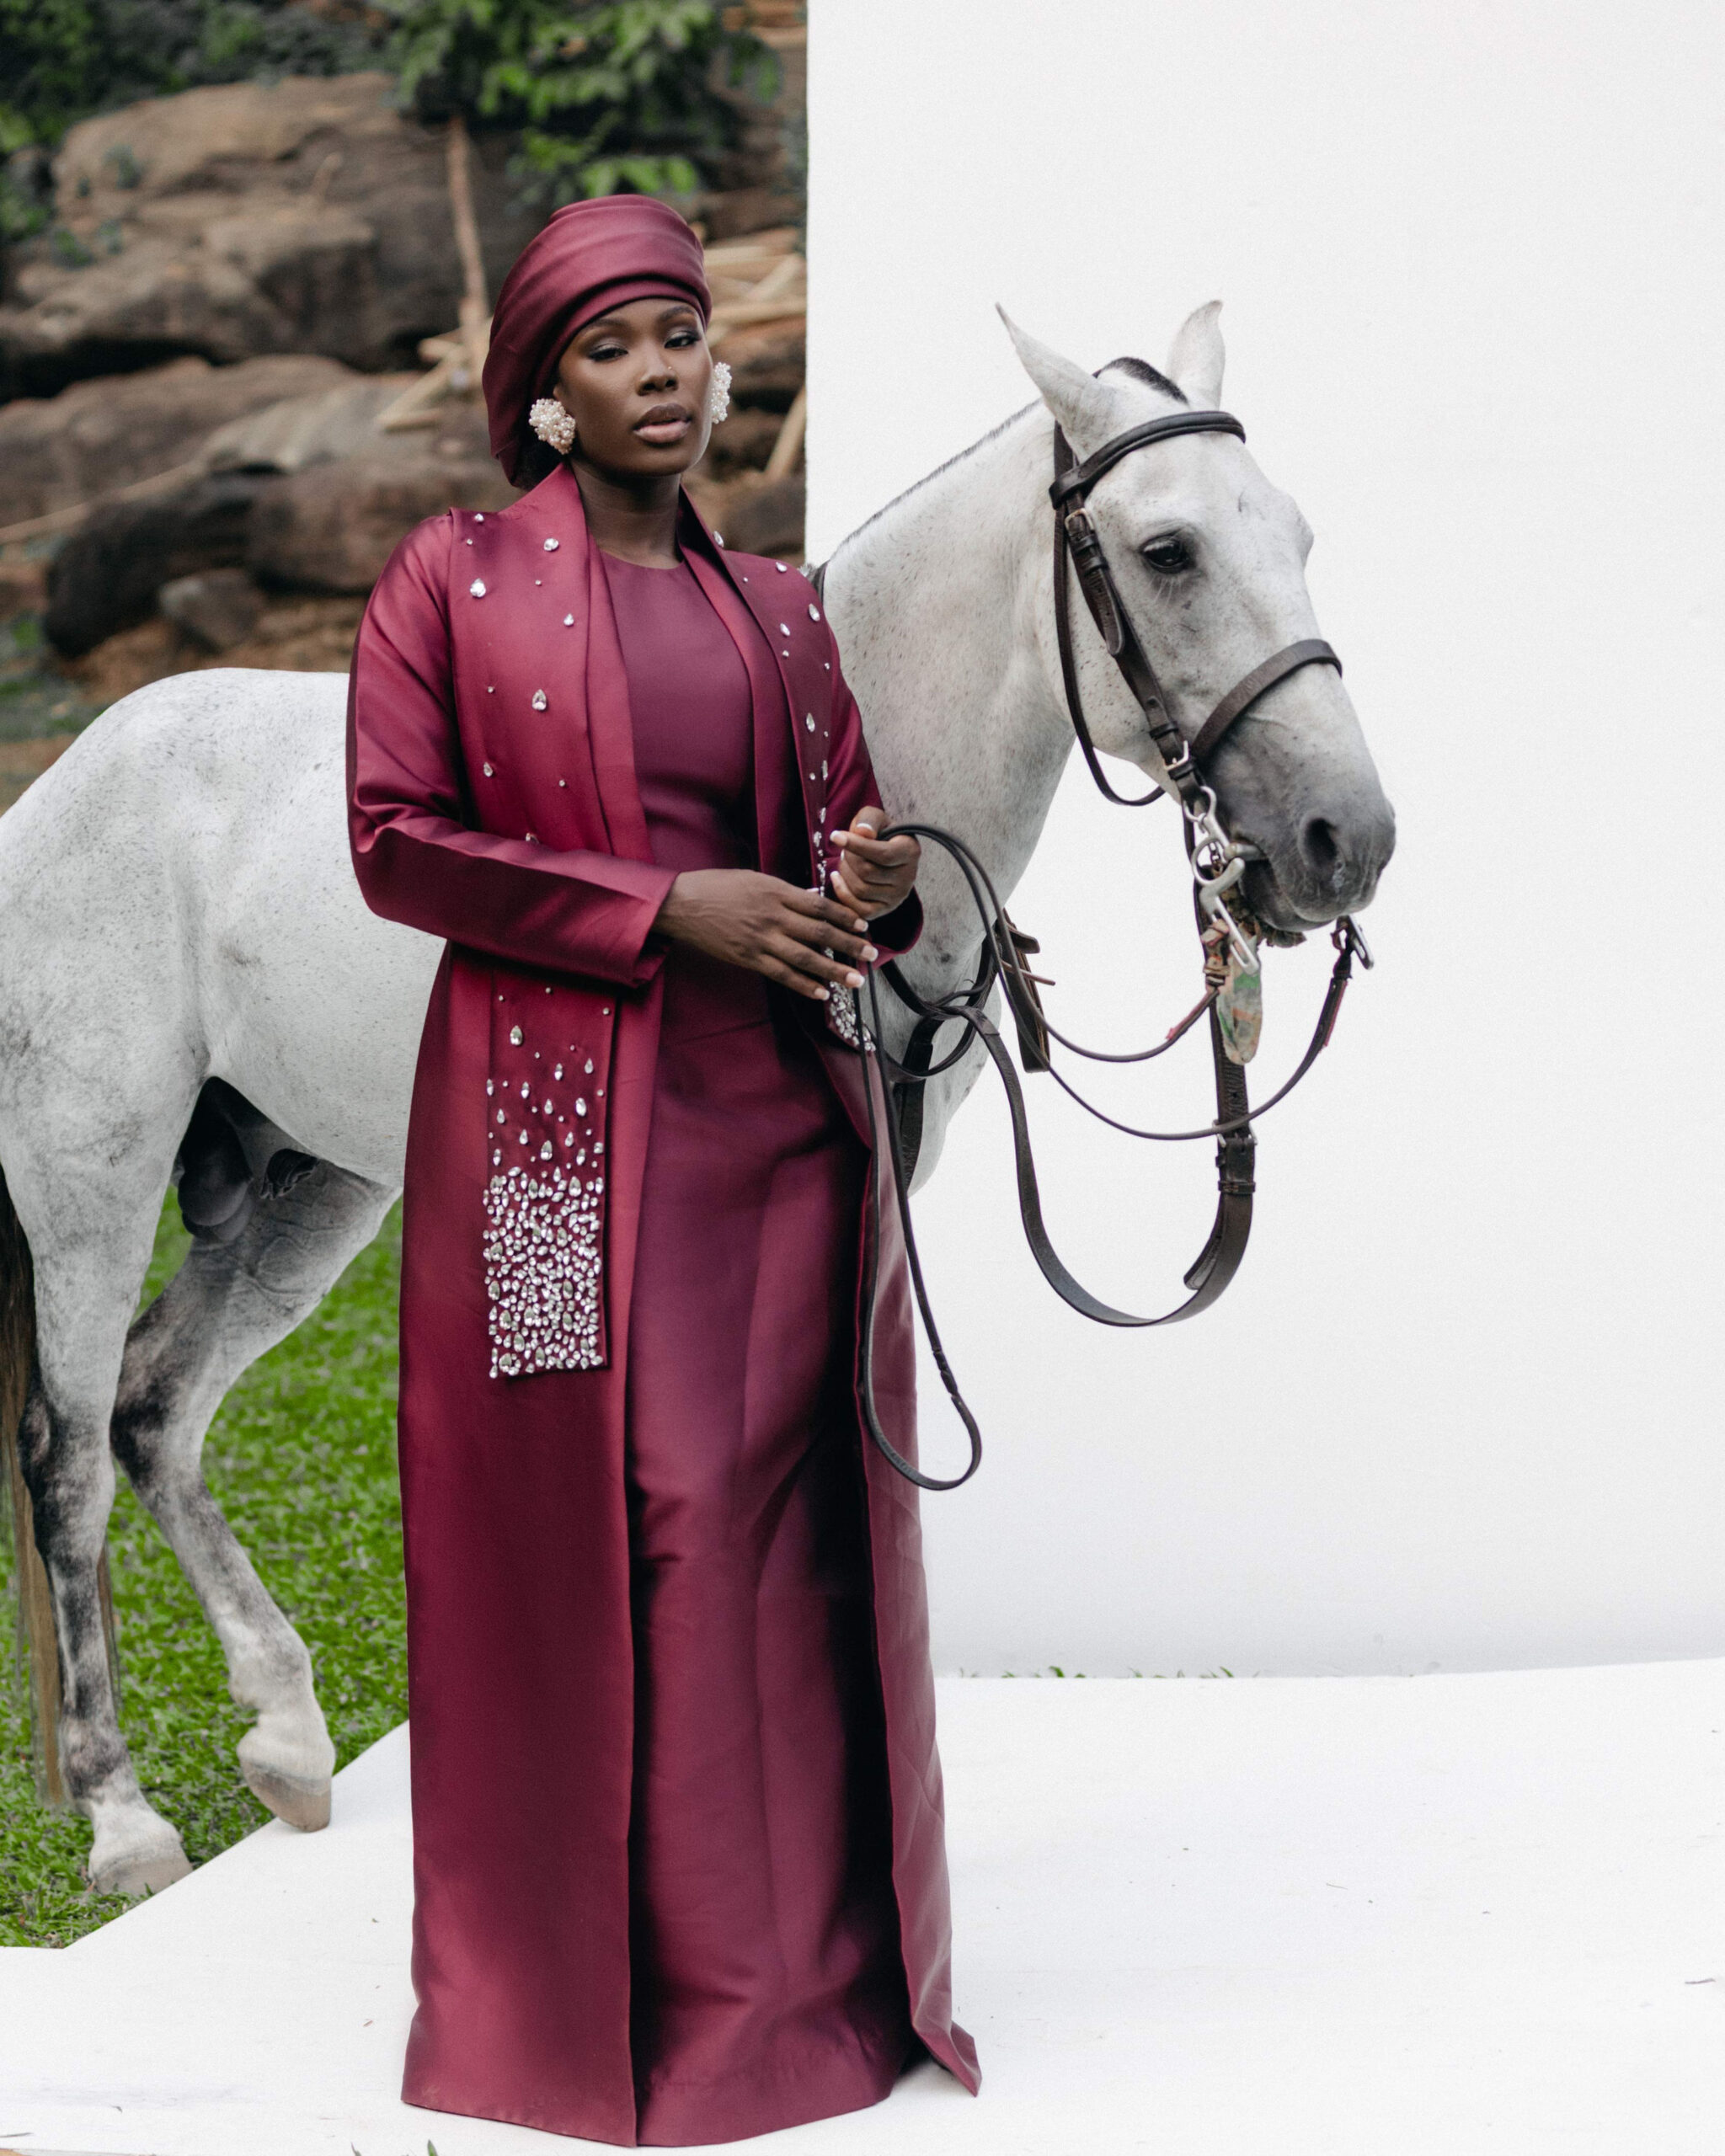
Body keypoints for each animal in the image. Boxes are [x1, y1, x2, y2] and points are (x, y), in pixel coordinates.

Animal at [0, 305, 1394, 1897]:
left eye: (1296, 531)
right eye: (1167, 551)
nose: (1345, 841)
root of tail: (60, 790)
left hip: (310, 1191)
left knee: (156, 1412)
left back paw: (288, 1739)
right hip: (89, 1188)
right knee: (67, 1450)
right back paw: (123, 1817)